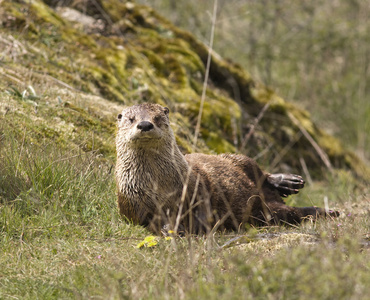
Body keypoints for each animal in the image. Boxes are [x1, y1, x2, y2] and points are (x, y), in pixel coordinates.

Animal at [115, 103, 338, 234]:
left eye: (158, 118)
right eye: (131, 119)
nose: (145, 124)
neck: (160, 186)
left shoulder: (196, 186)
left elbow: (204, 209)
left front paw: (193, 227)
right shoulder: (131, 203)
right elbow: (149, 221)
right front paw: (172, 228)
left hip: (237, 158)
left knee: (262, 174)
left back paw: (290, 184)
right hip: (267, 210)